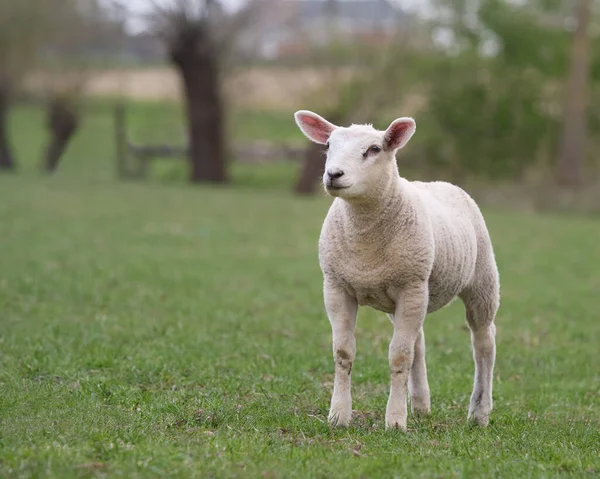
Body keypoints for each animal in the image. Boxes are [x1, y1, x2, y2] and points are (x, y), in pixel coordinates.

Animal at [292, 109, 500, 432]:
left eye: (374, 149)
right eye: (327, 145)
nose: (333, 175)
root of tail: (441, 183)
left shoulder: (410, 286)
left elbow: (399, 357)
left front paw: (395, 421)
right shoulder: (336, 286)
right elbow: (343, 352)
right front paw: (338, 416)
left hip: (480, 280)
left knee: (483, 342)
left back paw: (479, 413)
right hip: (409, 292)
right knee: (420, 343)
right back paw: (421, 406)